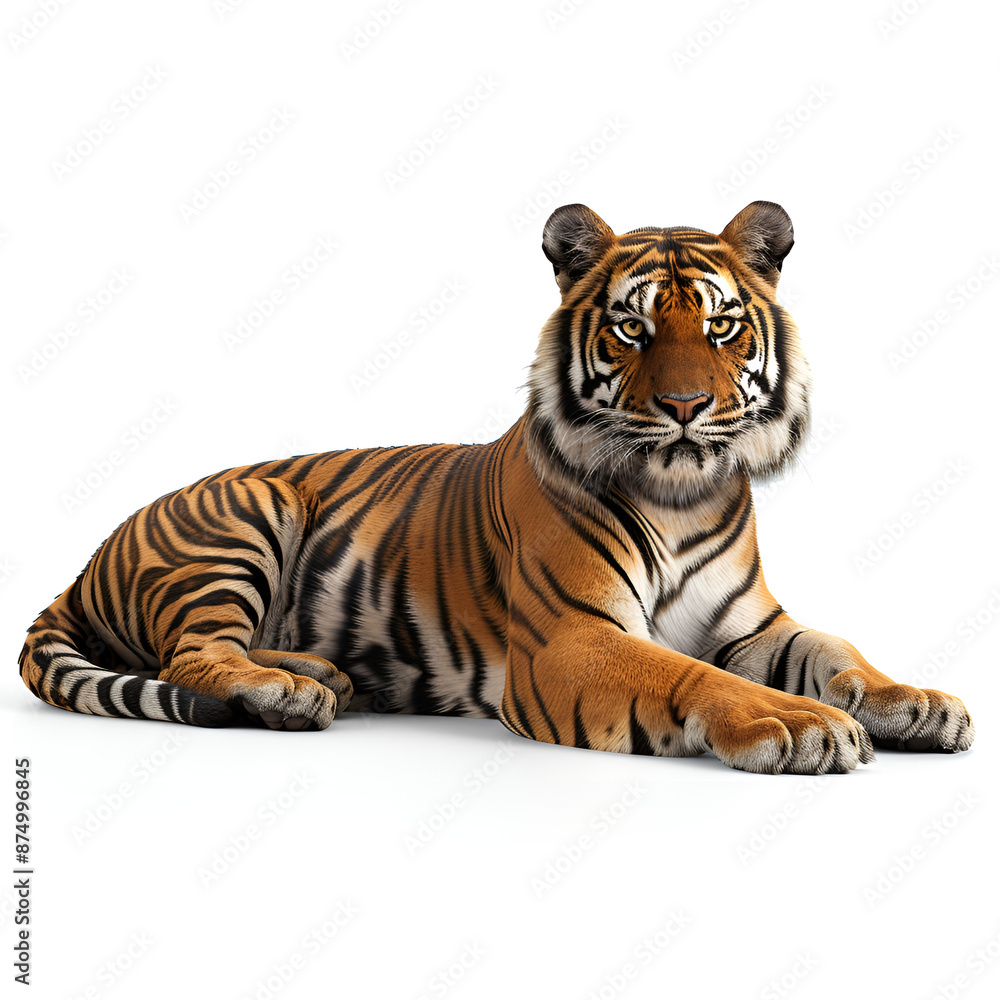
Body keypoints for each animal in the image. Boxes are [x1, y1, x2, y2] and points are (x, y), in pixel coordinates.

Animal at [19, 200, 975, 774]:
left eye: (721, 327)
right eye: (632, 330)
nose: (685, 407)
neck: (682, 495)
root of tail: (84, 563)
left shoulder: (752, 625)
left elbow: (838, 653)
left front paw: (918, 703)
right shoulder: (568, 640)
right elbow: (695, 675)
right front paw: (802, 725)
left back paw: (322, 674)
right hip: (247, 518)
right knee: (191, 655)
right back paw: (286, 692)